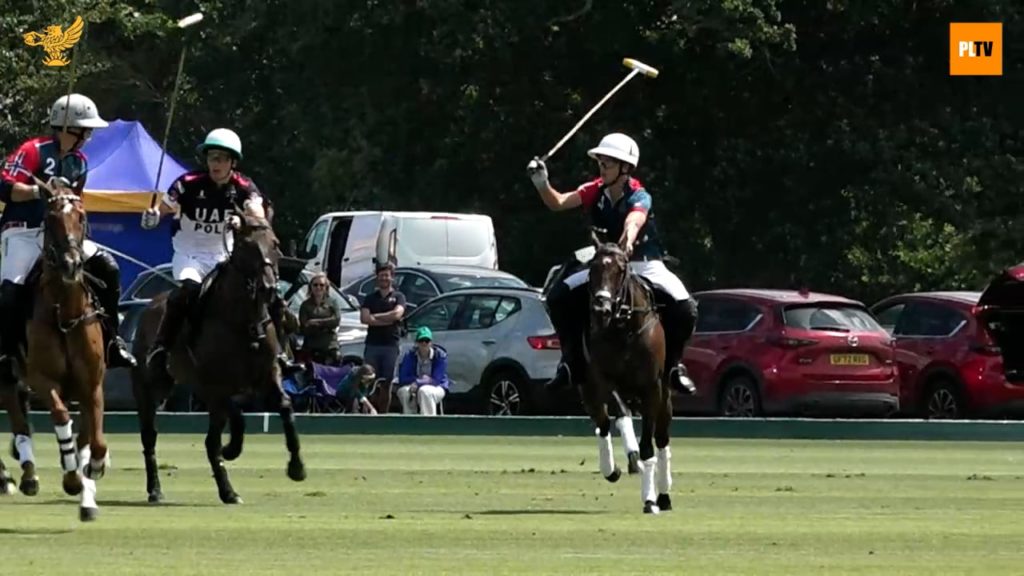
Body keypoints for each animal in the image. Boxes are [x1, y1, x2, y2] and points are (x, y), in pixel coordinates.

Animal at [23, 192, 110, 520]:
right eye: (50, 219)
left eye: (81, 217)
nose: (71, 264)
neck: (66, 316)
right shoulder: (40, 378)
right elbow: (61, 416)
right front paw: (72, 478)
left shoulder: (92, 384)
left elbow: (95, 441)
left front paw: (92, 473)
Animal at [130, 214, 303, 502]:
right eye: (245, 246)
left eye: (275, 243)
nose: (269, 288)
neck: (244, 322)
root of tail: (150, 305)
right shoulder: (213, 386)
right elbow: (232, 420)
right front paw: (231, 449)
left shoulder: (268, 375)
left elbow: (285, 405)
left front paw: (297, 468)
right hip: (148, 388)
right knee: (150, 437)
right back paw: (157, 489)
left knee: (210, 437)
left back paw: (227, 490)